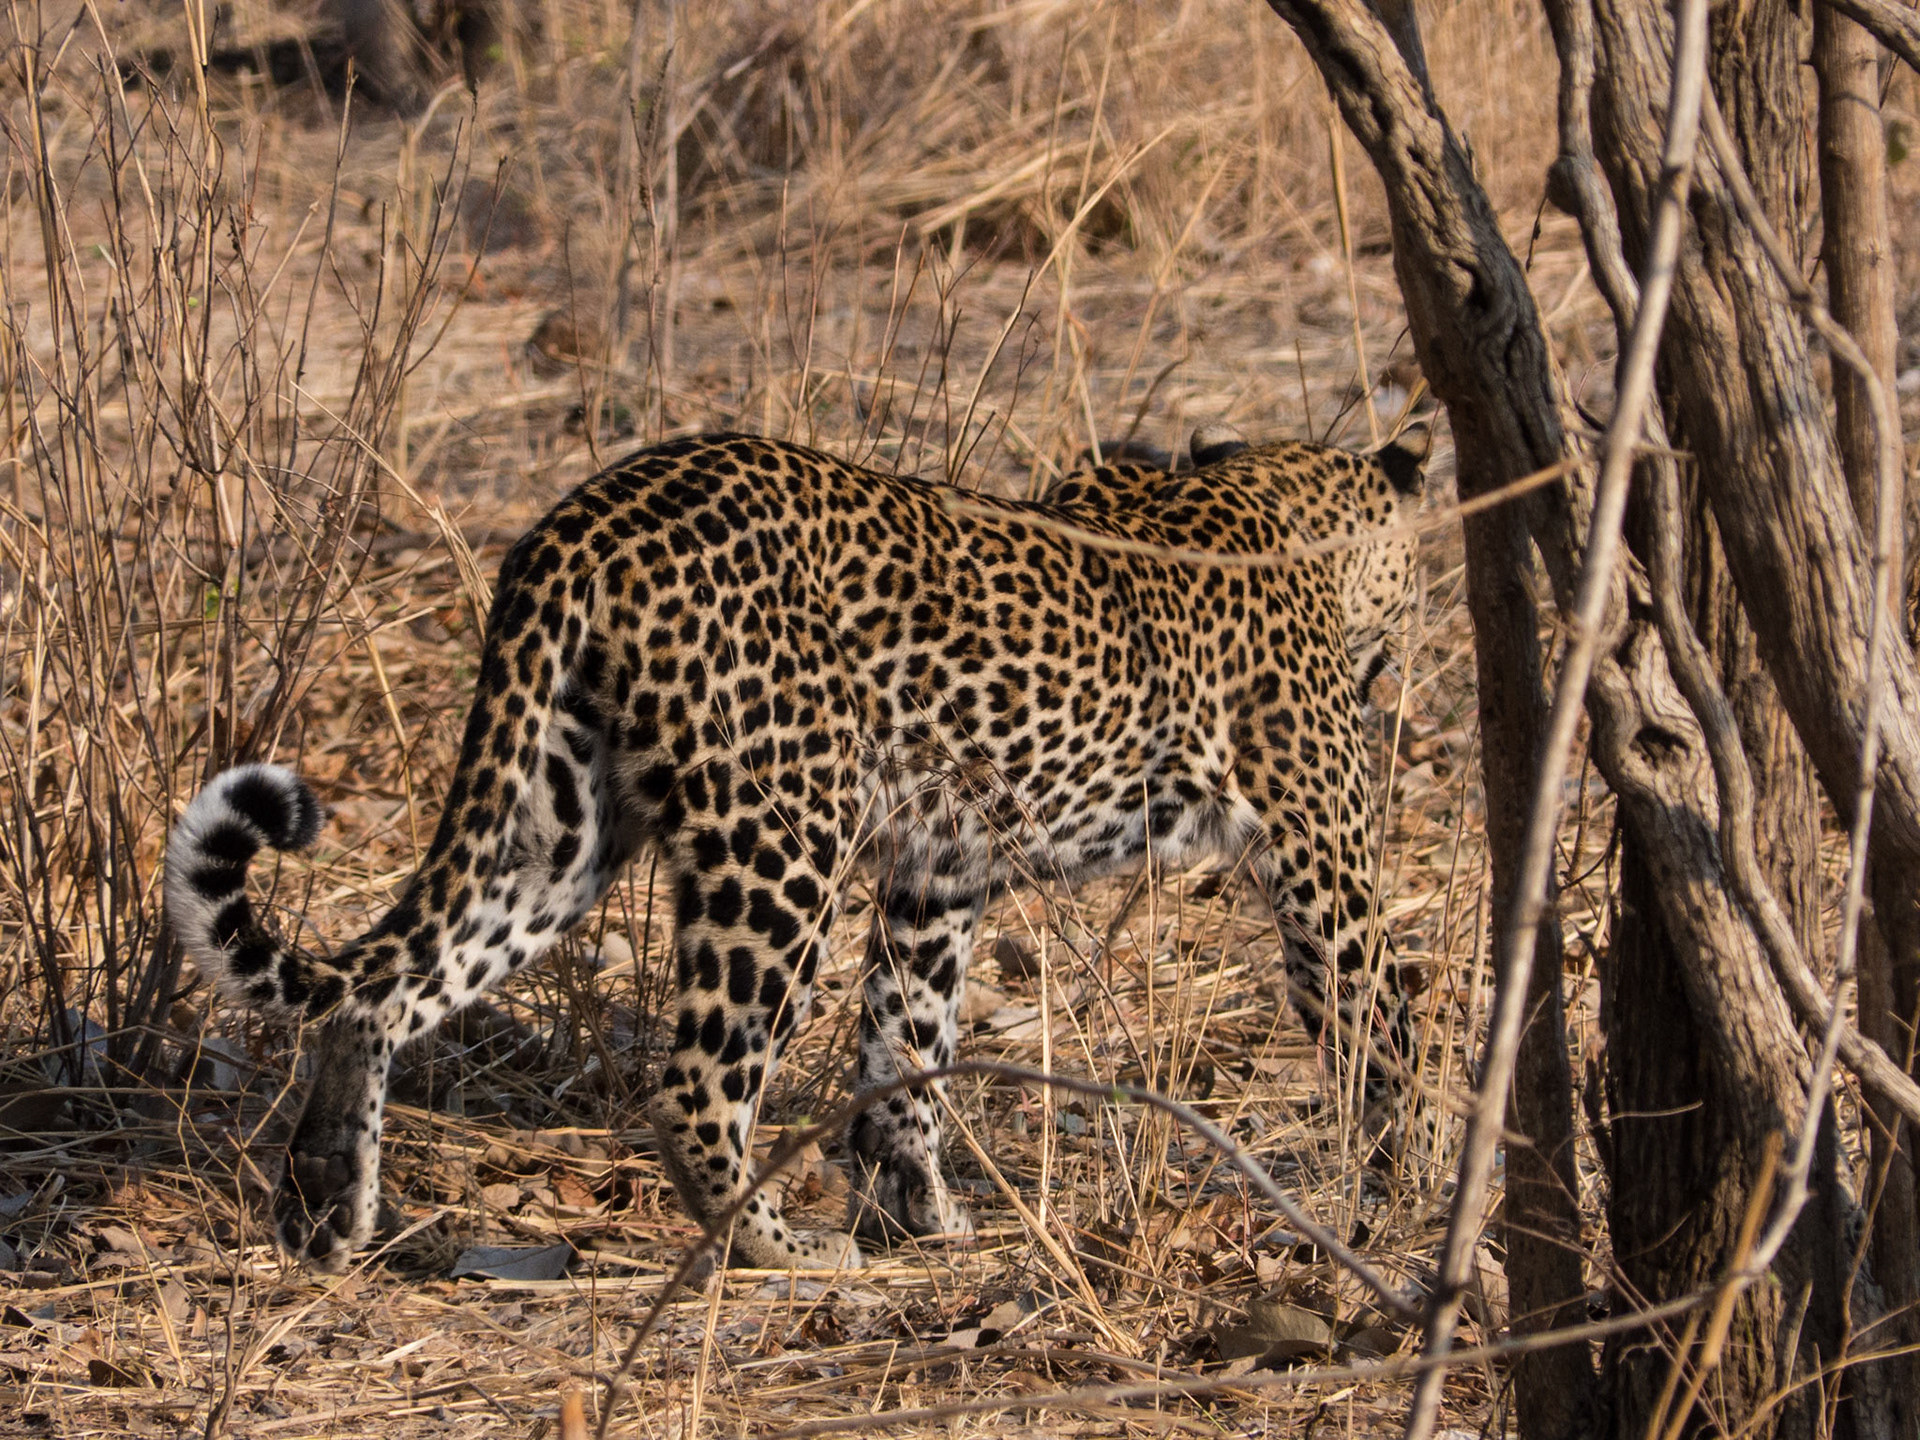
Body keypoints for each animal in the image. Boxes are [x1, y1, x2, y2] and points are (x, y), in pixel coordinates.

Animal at [165, 420, 1429, 1273]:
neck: (1271, 499)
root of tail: (584, 520)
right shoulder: (1328, 875)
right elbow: (1388, 1037)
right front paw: (1415, 1210)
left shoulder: (937, 873)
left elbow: (907, 1043)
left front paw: (926, 1214)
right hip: (781, 835)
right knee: (698, 1080)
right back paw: (779, 1247)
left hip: (558, 828)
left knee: (378, 993)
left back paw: (326, 1214)